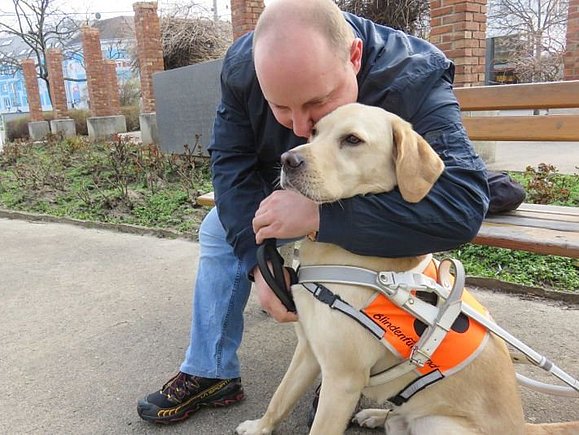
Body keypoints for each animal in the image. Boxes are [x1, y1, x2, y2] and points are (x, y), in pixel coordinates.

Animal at [234, 104, 576, 434]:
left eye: (352, 140)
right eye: (314, 132)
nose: (287, 160)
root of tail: (523, 427)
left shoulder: (342, 380)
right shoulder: (308, 349)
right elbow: (281, 396)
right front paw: (260, 427)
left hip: (441, 425)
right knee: (396, 419)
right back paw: (376, 415)